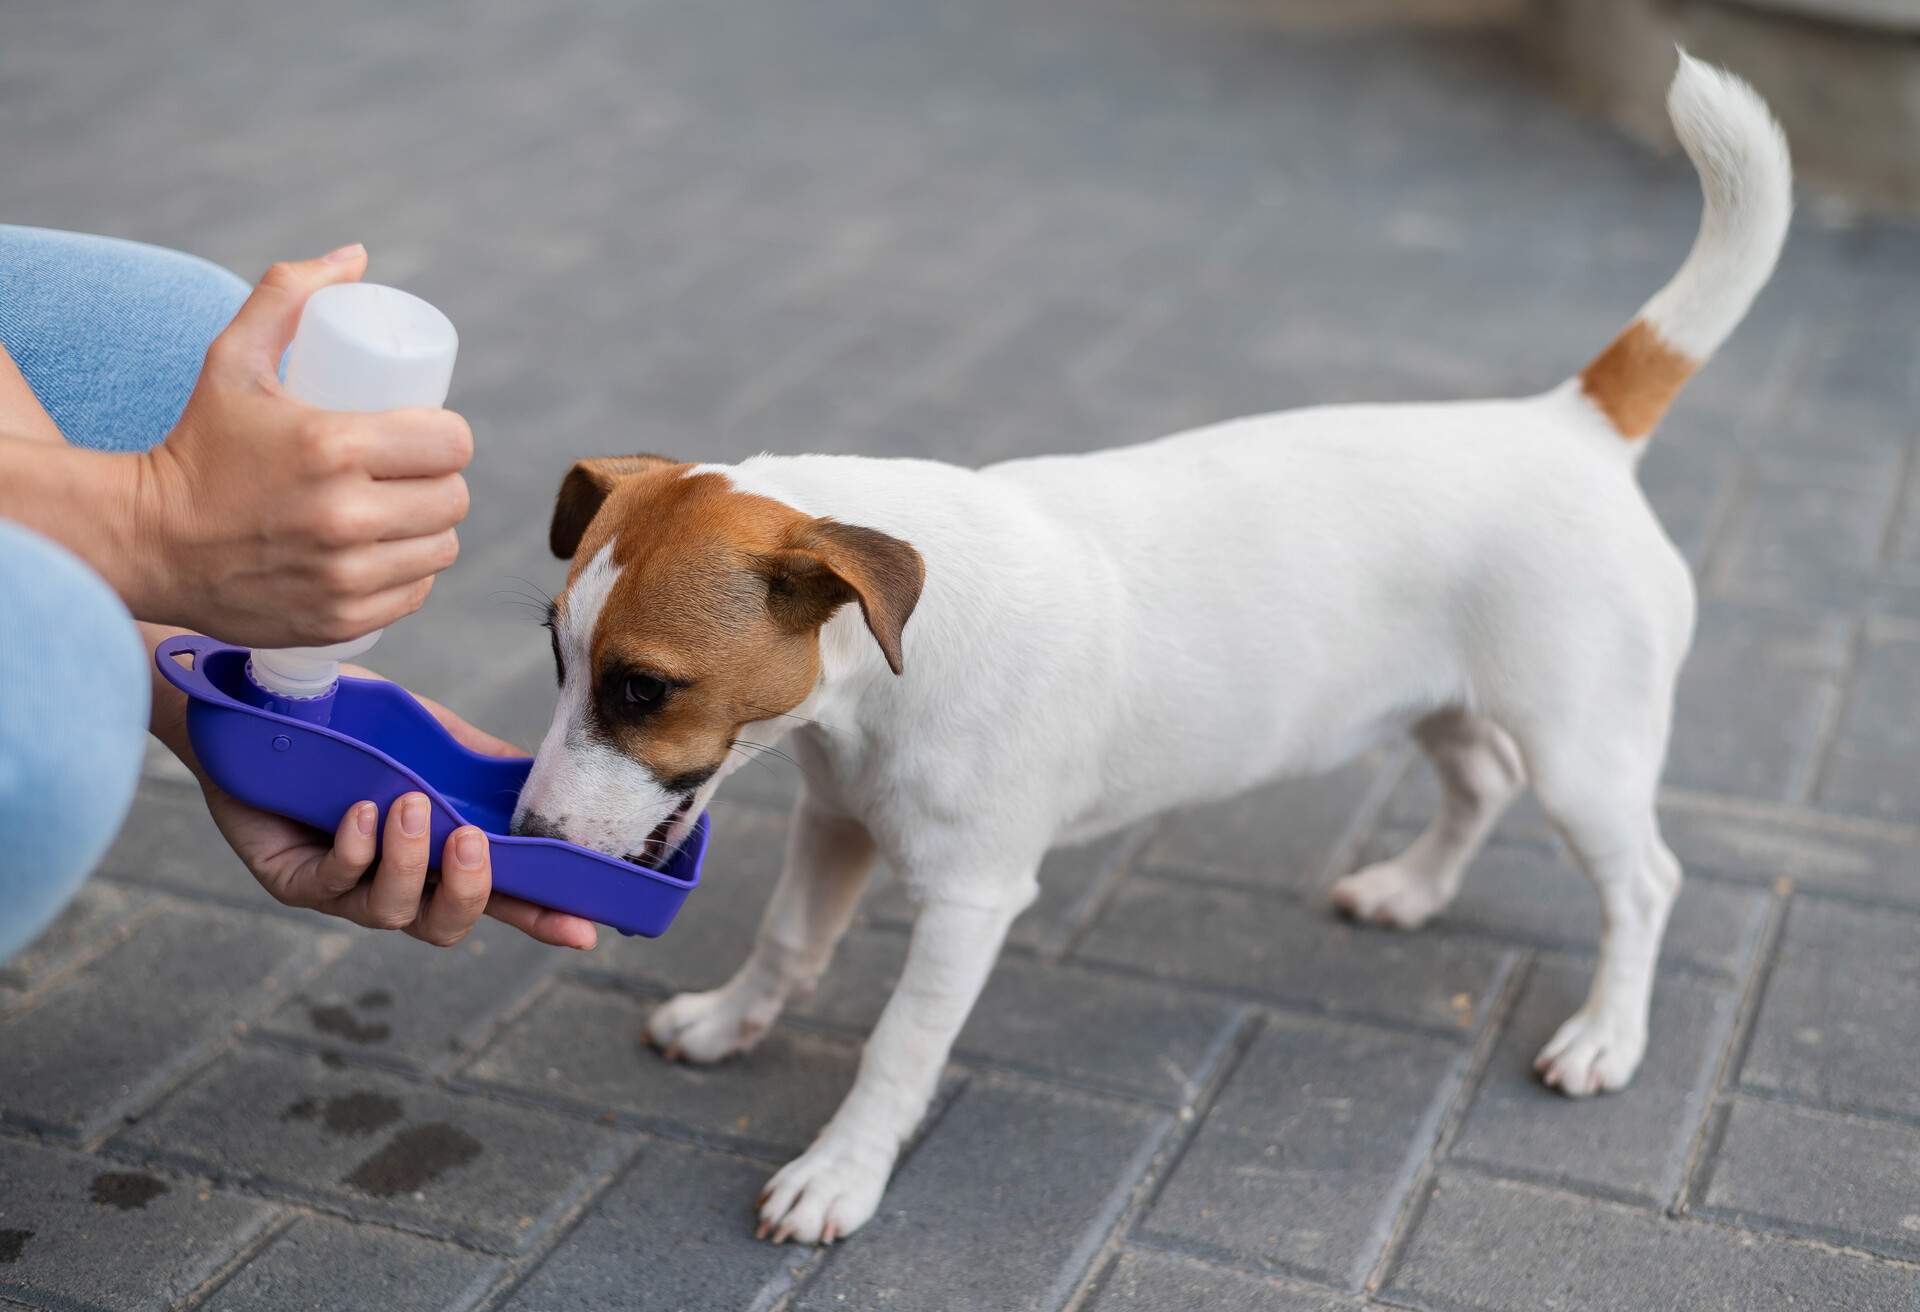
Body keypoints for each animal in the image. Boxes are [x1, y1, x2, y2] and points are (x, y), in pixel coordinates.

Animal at [510, 56, 1781, 1244]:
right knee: (1480, 783)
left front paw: (840, 1171)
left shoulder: (971, 899)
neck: (877, 683)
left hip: (1585, 750)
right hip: (1442, 704)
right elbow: (785, 944)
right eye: (559, 664)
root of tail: (1570, 423)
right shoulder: (832, 824)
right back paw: (1412, 889)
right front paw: (729, 1022)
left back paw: (1606, 1033)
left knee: (1644, 881)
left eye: (644, 688)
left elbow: (897, 1050)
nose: (525, 834)